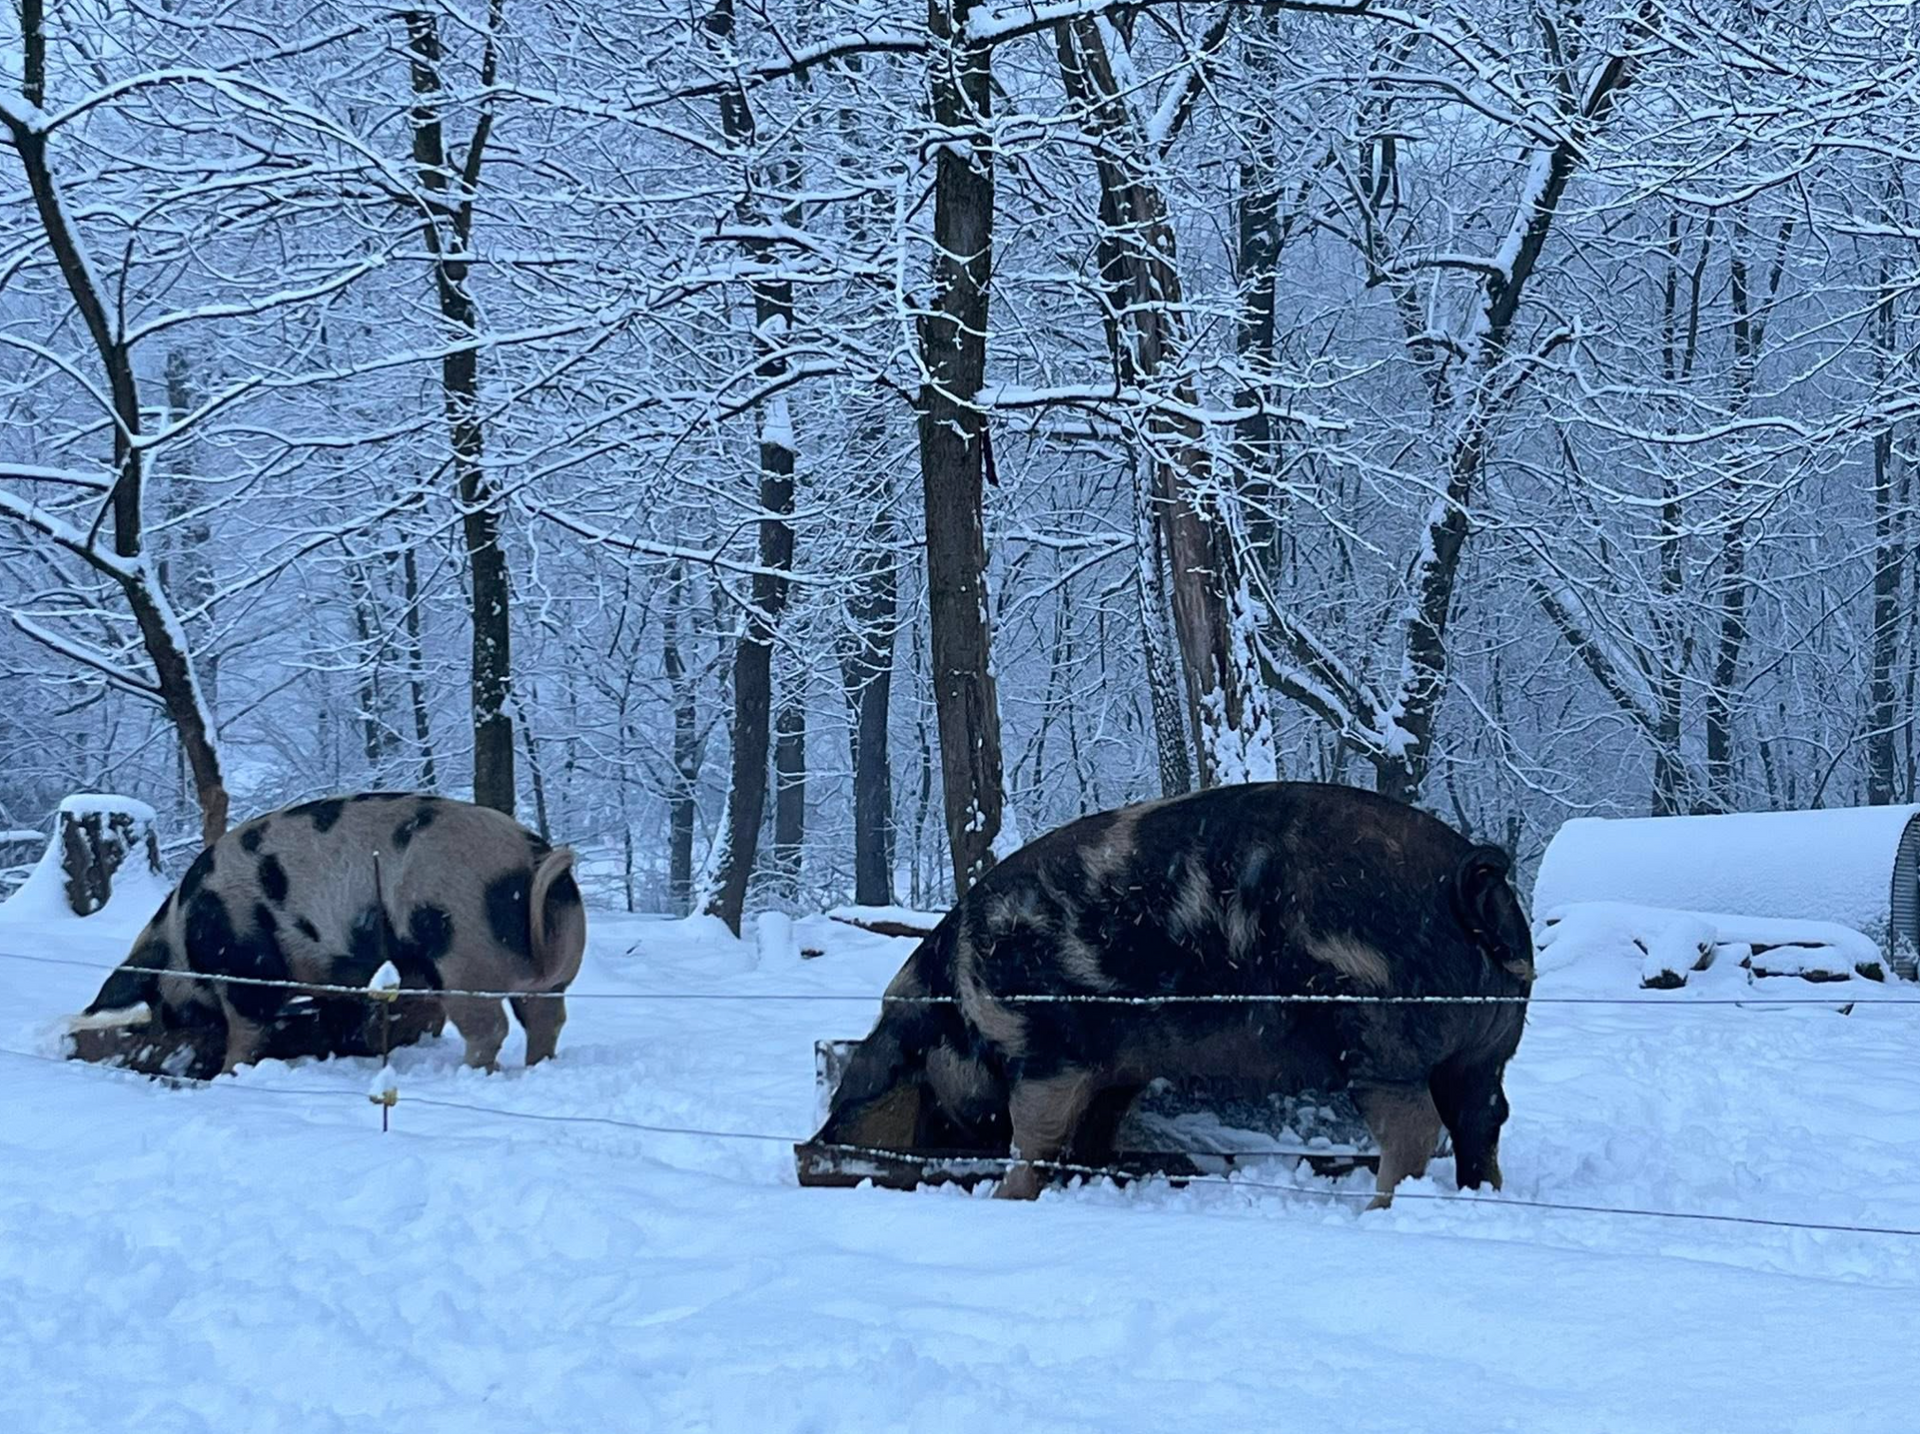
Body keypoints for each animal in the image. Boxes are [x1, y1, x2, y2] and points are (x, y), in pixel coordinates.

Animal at [71, 793, 586, 1079]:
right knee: (546, 1018)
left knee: (491, 1026)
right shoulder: (335, 969)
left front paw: (228, 1072)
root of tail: (533, 857)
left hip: (460, 947)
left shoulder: (246, 963)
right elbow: (340, 1008)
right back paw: (537, 1067)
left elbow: (248, 1025)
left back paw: (471, 1074)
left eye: (157, 998)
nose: (168, 1030)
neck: (184, 937)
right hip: (530, 974)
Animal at [811, 781, 1534, 1205]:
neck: (959, 1004)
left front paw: (1008, 1197)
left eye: (906, 1077)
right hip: (1489, 1045)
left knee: (1415, 1131)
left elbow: (1035, 1134)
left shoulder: (1047, 1045)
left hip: (1377, 1036)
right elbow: (1089, 1137)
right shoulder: (1115, 1070)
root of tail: (1468, 875)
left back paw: (1378, 1209)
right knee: (1482, 1119)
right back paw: (1483, 1195)